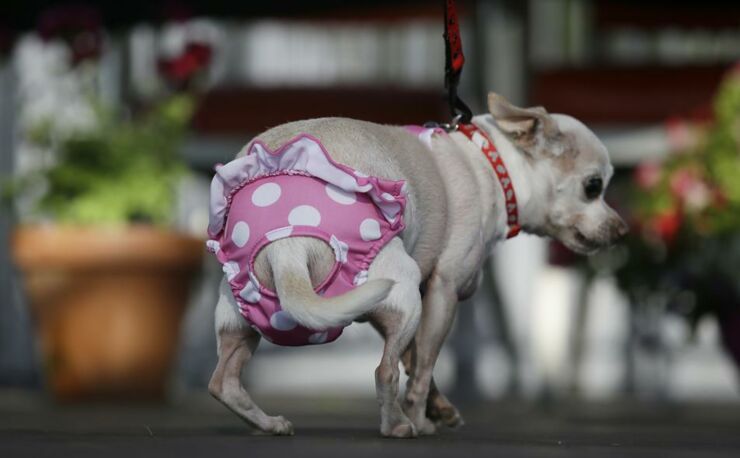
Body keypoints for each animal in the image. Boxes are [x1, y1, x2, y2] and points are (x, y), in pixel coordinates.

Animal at [205, 92, 628, 436]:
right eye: (593, 186)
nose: (623, 230)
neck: (491, 162)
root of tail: (286, 244)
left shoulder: (393, 305)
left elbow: (416, 358)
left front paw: (438, 408)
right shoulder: (442, 290)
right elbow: (422, 368)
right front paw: (423, 417)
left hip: (241, 315)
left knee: (223, 382)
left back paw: (269, 423)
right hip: (403, 290)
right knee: (384, 370)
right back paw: (397, 425)